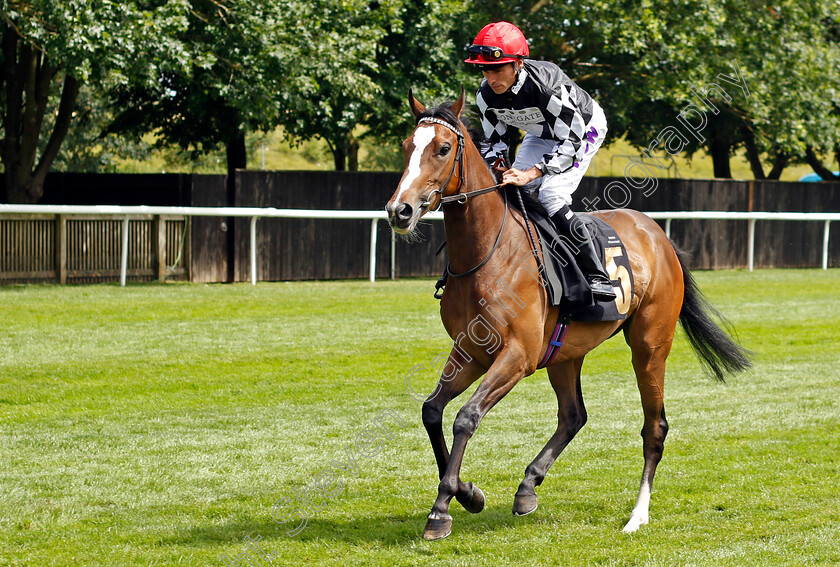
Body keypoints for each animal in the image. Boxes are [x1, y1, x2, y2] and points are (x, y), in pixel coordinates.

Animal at [384, 90, 752, 540]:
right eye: (407, 146)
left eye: (442, 148)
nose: (399, 211)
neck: (489, 252)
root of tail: (659, 236)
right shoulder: (471, 350)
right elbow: (432, 411)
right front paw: (467, 494)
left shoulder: (517, 356)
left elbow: (466, 417)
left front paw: (443, 508)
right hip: (565, 352)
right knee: (573, 415)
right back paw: (528, 487)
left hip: (649, 345)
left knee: (655, 427)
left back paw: (637, 515)